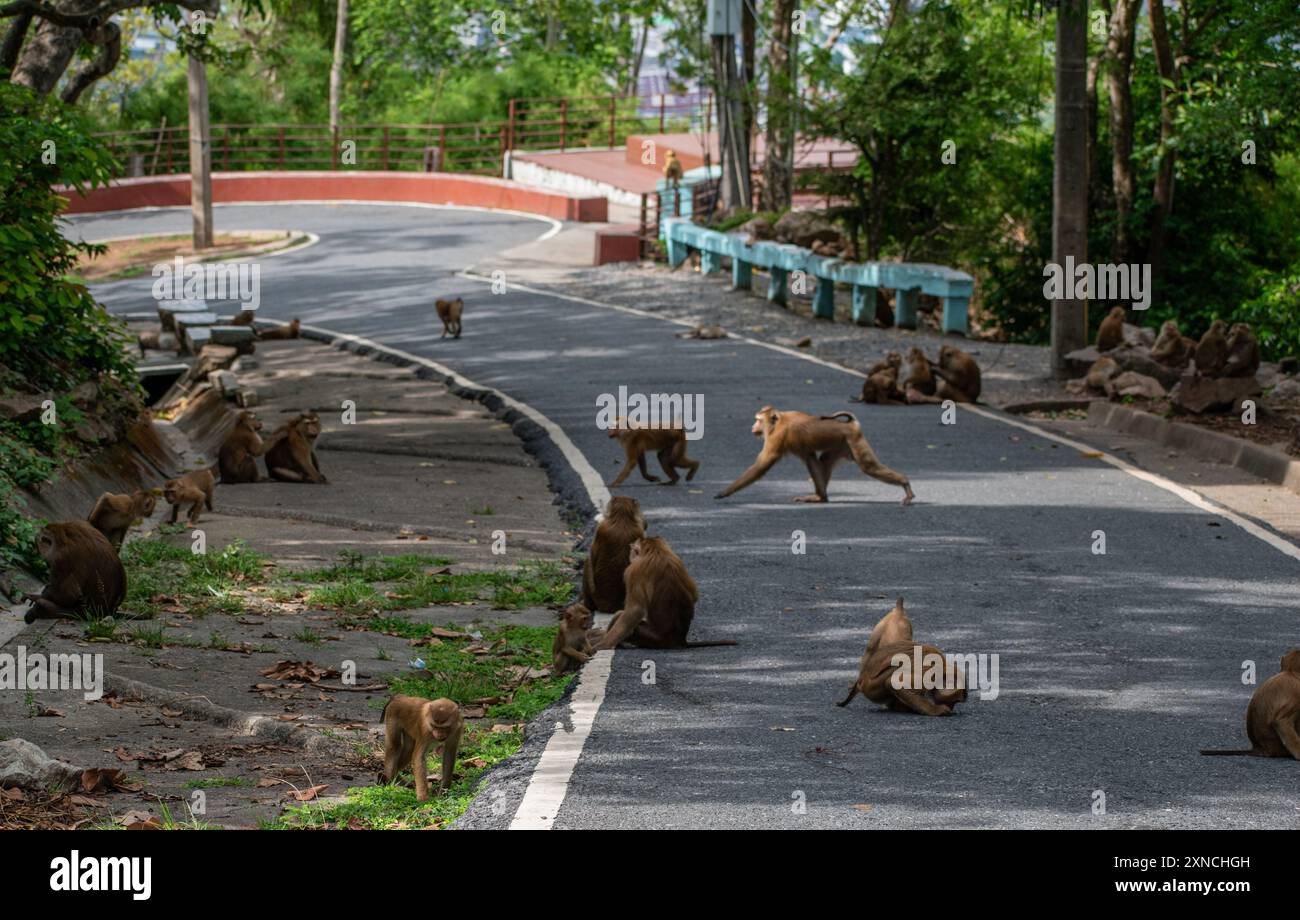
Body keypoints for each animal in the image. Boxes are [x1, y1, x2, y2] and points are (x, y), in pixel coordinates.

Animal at [589, 536, 735, 650]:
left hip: (653, 638)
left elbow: (635, 610)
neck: (656, 551)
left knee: (621, 615)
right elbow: (694, 595)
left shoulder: (632, 571)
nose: (630, 554)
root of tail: (680, 640)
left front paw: (604, 643)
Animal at [716, 407, 914, 505]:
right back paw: (821, 497)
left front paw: (726, 491)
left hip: (854, 440)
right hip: (841, 443)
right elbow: (809, 457)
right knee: (823, 460)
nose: (753, 426)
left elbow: (763, 464)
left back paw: (905, 483)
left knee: (869, 467)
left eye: (758, 420)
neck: (779, 421)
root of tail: (851, 425)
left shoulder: (776, 437)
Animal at [836, 640, 967, 716]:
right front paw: (937, 711)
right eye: (955, 701)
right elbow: (892, 683)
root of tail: (861, 679)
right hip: (872, 688)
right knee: (894, 670)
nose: (952, 706)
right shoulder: (929, 672)